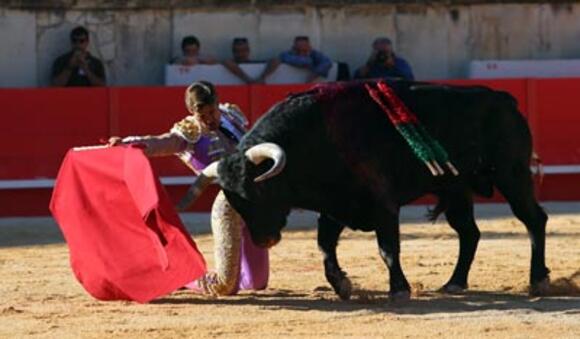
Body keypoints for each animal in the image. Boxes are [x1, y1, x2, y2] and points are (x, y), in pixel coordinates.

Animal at [198, 81, 548, 302]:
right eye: (235, 202)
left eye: (260, 191)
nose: (264, 240)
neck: (311, 138)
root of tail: (505, 99)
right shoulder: (335, 205)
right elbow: (325, 247)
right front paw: (342, 285)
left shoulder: (383, 204)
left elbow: (387, 248)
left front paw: (399, 289)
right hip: (456, 189)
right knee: (469, 232)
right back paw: (454, 283)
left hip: (512, 176)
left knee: (534, 219)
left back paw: (539, 280)